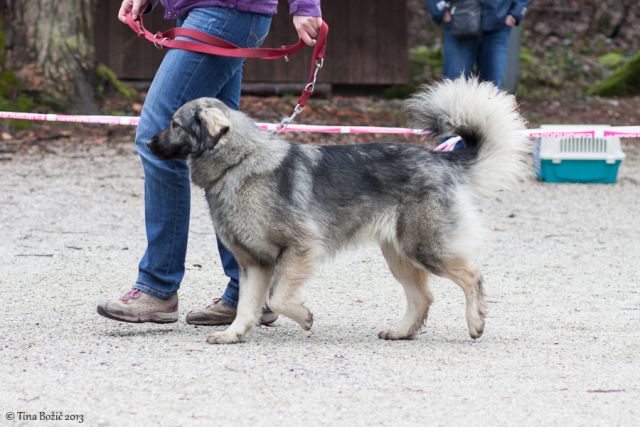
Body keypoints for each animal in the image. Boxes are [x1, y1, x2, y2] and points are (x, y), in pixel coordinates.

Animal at [150, 77, 528, 344]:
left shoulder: (299, 248)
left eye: (174, 124)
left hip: (424, 247)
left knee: (472, 275)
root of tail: (439, 158)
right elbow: (247, 305)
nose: (150, 143)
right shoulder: (253, 263)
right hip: (398, 254)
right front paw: (234, 334)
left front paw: (303, 316)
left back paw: (475, 321)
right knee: (423, 297)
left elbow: (277, 297)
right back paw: (401, 331)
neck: (238, 163)